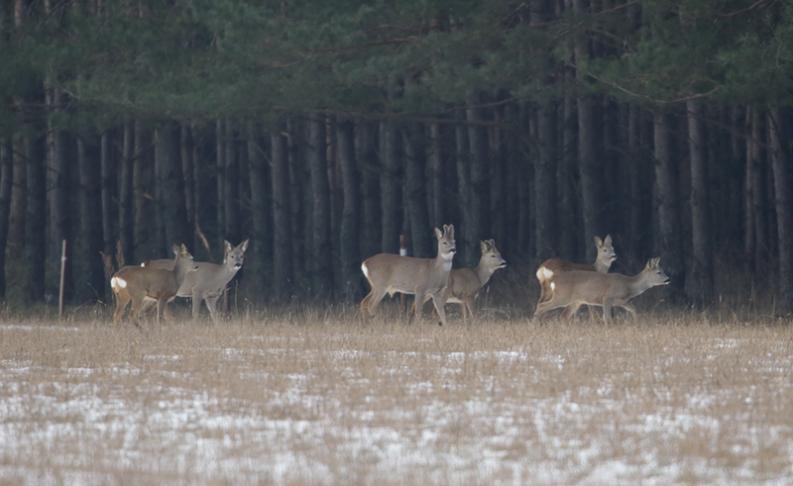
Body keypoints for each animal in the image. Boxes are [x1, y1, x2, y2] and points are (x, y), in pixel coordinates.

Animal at [532, 256, 668, 324]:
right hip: (562, 296)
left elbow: (632, 309)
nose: (668, 279)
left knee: (563, 315)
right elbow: (608, 317)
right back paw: (536, 325)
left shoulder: (619, 301)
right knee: (541, 306)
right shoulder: (607, 297)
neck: (628, 285)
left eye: (663, 270)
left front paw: (636, 322)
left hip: (576, 301)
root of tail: (553, 277)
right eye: (659, 272)